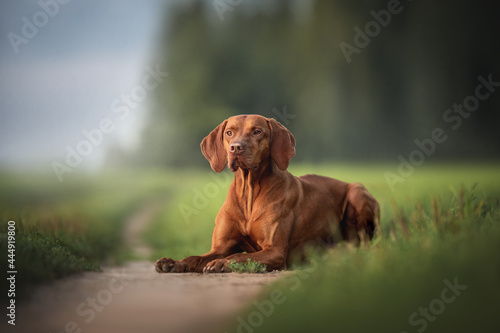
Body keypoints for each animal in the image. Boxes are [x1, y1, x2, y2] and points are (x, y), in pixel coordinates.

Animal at [156, 114, 378, 272]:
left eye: (257, 132)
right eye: (229, 132)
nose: (236, 148)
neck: (249, 191)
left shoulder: (275, 251)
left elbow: (239, 256)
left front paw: (223, 263)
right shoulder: (220, 247)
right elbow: (197, 257)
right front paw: (174, 262)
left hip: (357, 191)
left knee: (365, 244)